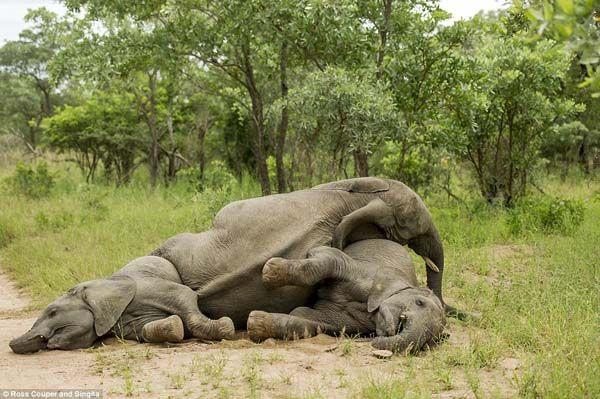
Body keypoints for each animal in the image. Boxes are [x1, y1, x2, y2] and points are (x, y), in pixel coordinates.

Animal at [9, 256, 234, 354]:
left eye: (53, 312)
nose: (10, 344)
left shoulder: (147, 287)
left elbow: (185, 295)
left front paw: (226, 325)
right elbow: (146, 330)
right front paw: (174, 327)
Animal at [246, 238, 448, 354]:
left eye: (429, 342)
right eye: (419, 302)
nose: (374, 341)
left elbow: (311, 321)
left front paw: (256, 324)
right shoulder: (365, 270)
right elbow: (329, 257)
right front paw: (270, 270)